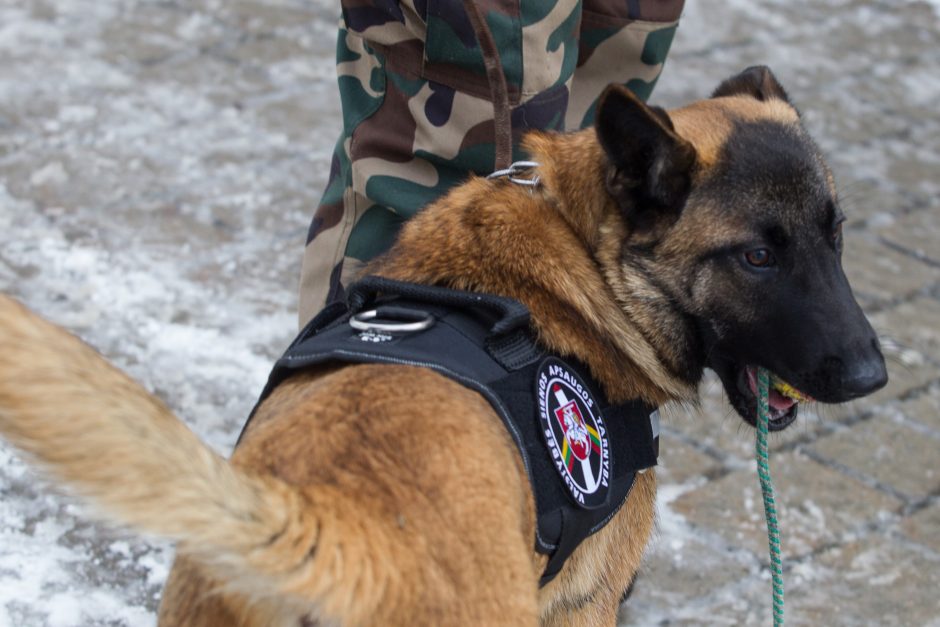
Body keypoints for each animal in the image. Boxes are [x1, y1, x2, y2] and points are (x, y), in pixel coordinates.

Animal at [0, 66, 884, 624]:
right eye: (757, 256)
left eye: (836, 233)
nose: (872, 374)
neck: (581, 254)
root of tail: (321, 524)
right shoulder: (585, 604)